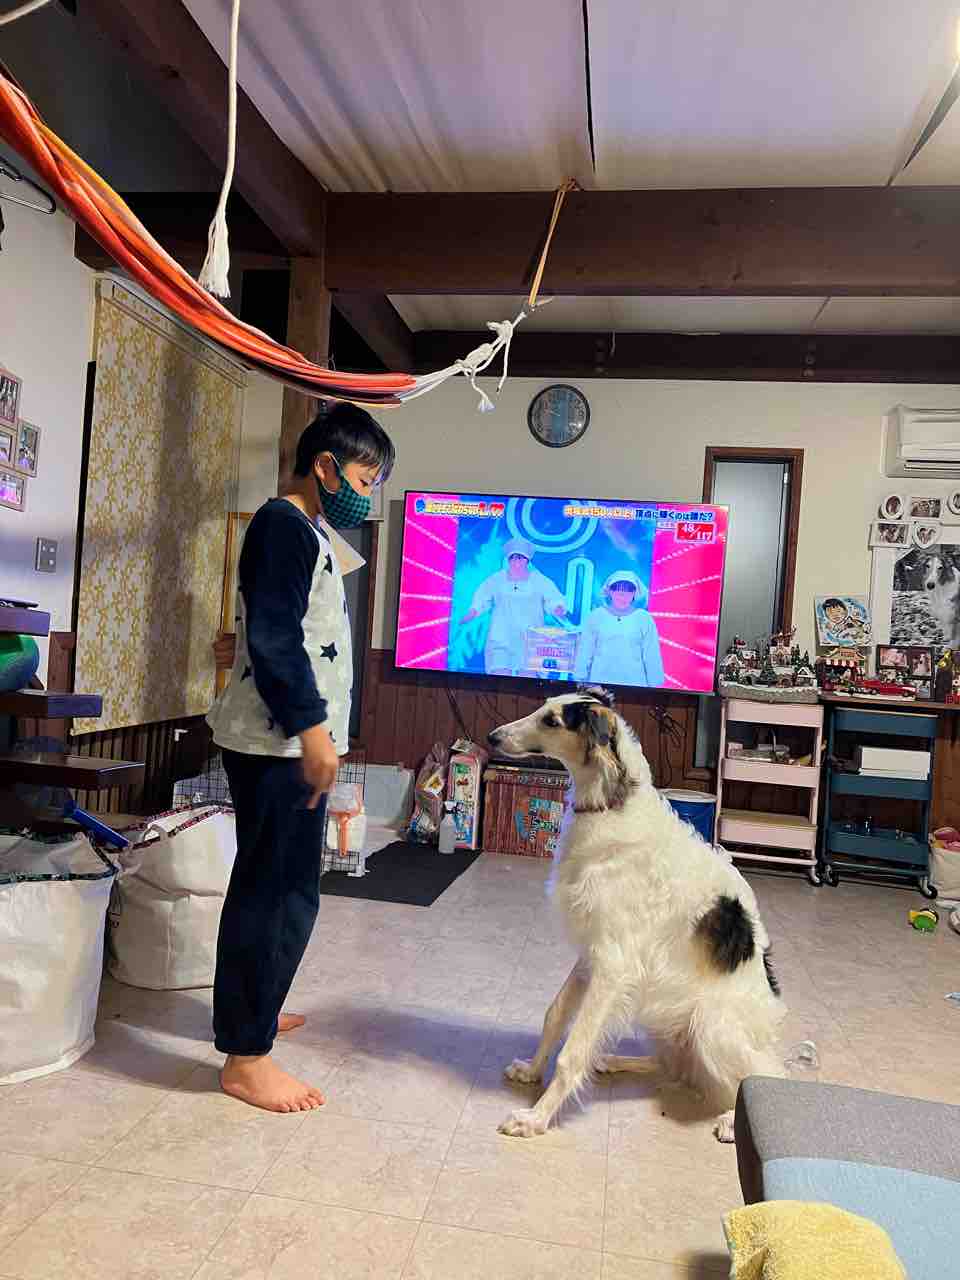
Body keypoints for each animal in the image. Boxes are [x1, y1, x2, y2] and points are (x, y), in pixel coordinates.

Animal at [487, 688, 786, 1142]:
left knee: (765, 1075)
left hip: (710, 1027)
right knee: (674, 1067)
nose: (492, 737)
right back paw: (613, 1061)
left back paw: (731, 1121)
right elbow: (554, 1016)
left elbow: (572, 1053)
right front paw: (531, 1072)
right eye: (542, 707)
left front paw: (535, 1118)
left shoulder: (613, 964)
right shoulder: (591, 955)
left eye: (552, 721)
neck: (611, 806)